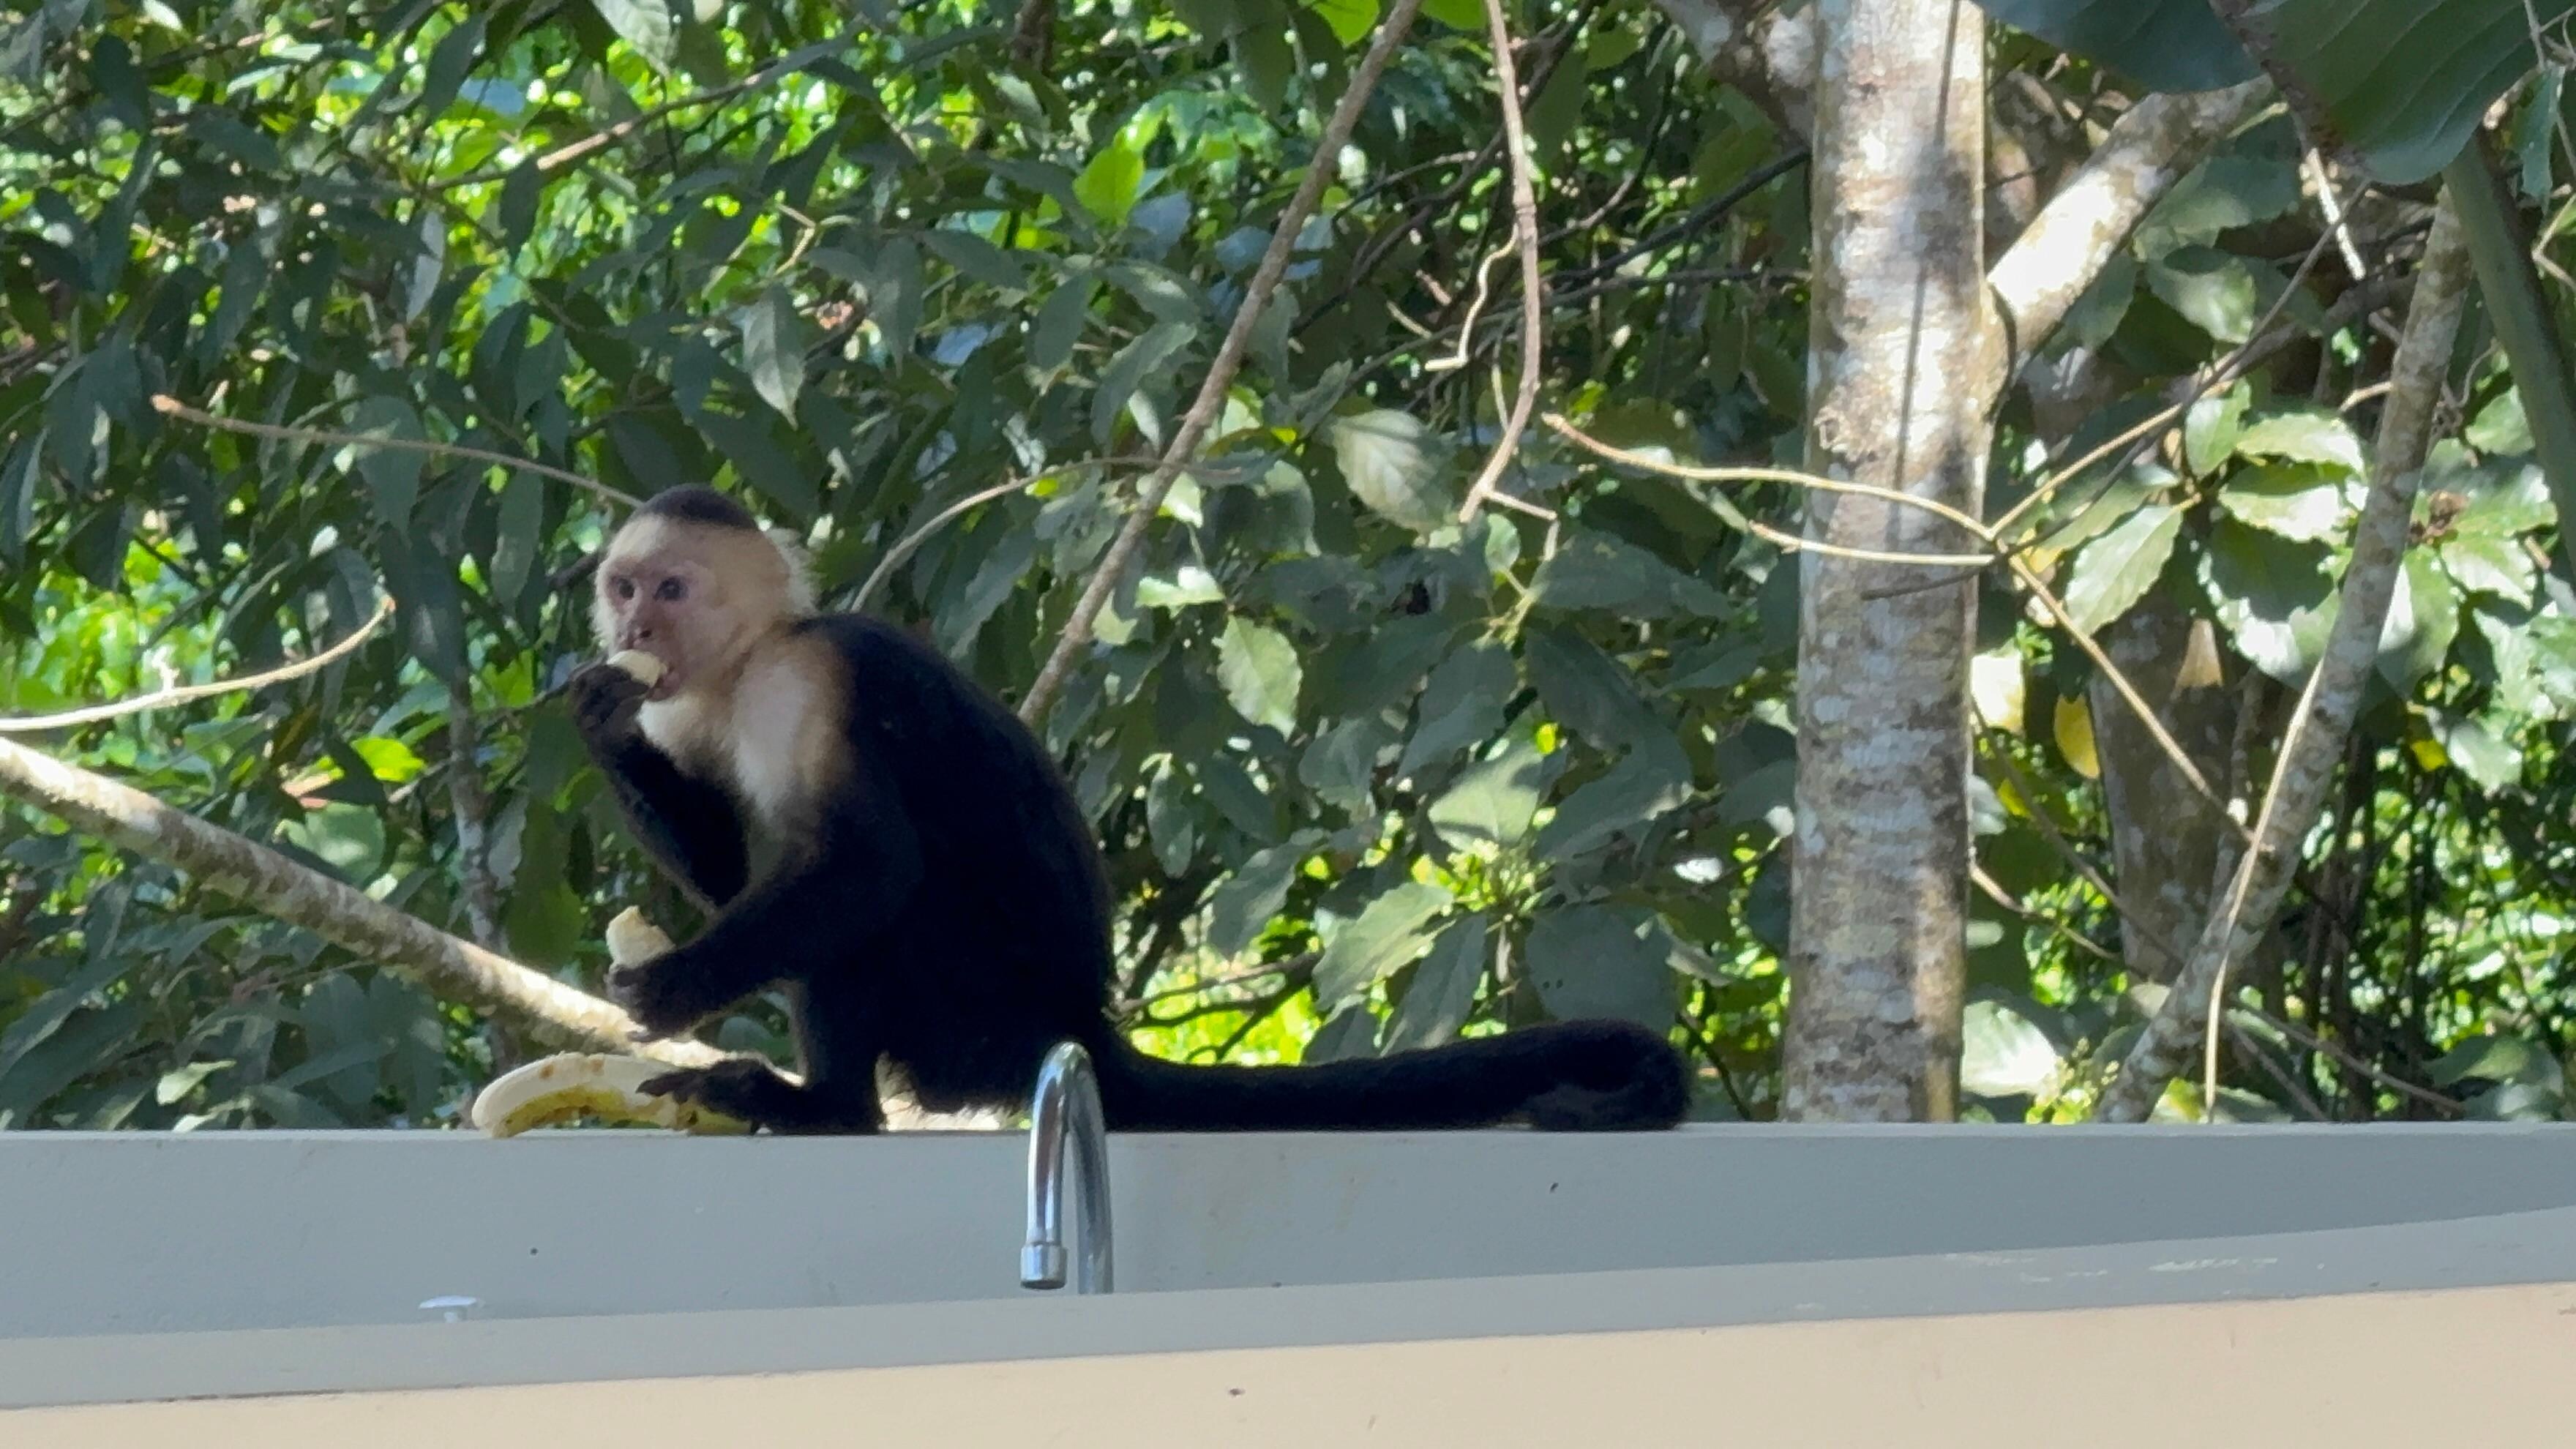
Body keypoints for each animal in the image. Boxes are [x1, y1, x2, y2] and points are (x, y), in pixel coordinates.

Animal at [570, 484, 1689, 1134]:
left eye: (672, 588)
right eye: (624, 587)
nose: (632, 628)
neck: (741, 664)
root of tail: (1079, 1027)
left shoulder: (804, 683)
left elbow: (863, 867)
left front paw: (673, 985)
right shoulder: (688, 706)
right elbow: (735, 879)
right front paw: (601, 722)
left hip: (974, 1010)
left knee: (877, 918)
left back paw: (827, 1111)